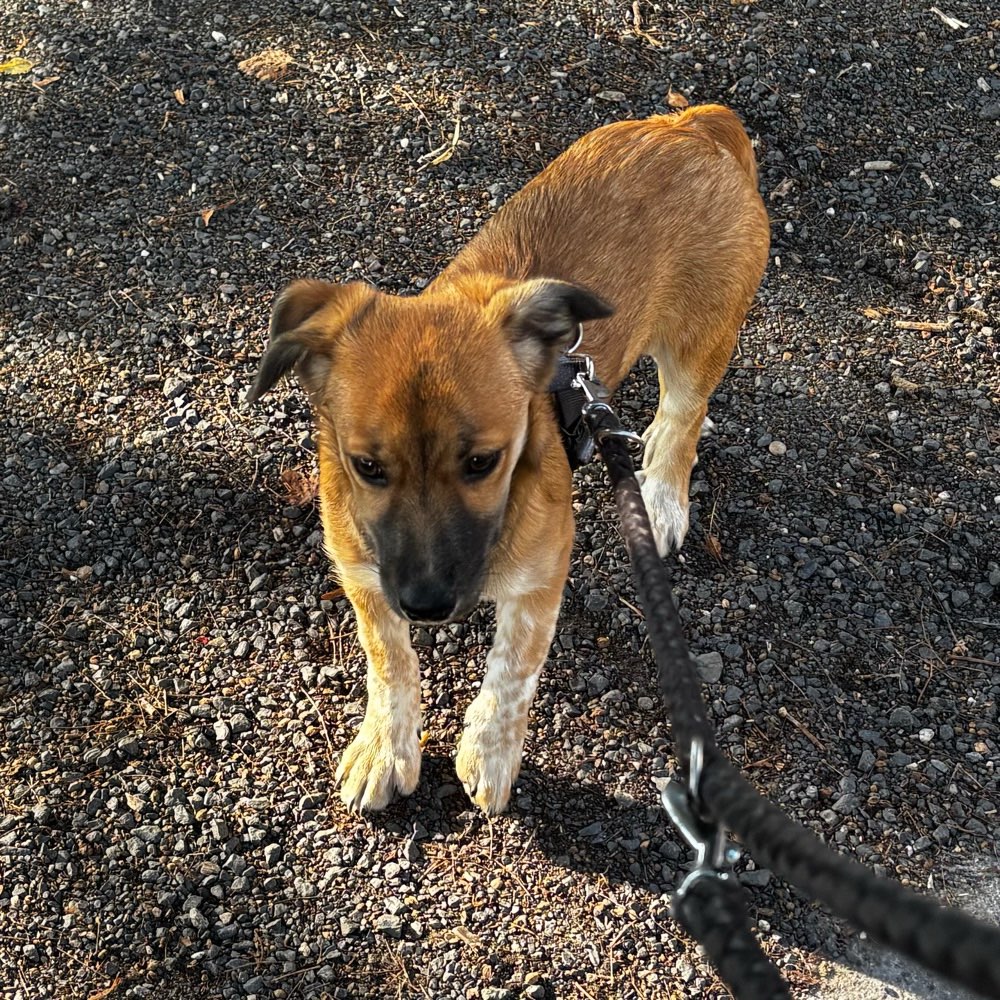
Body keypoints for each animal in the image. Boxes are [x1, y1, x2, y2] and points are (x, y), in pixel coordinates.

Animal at [248, 105, 764, 816]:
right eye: (367, 466)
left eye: (483, 462)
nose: (427, 604)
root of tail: (692, 124)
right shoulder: (363, 570)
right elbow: (390, 660)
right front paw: (385, 746)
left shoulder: (540, 577)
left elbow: (512, 671)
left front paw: (489, 754)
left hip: (699, 338)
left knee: (686, 417)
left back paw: (659, 498)